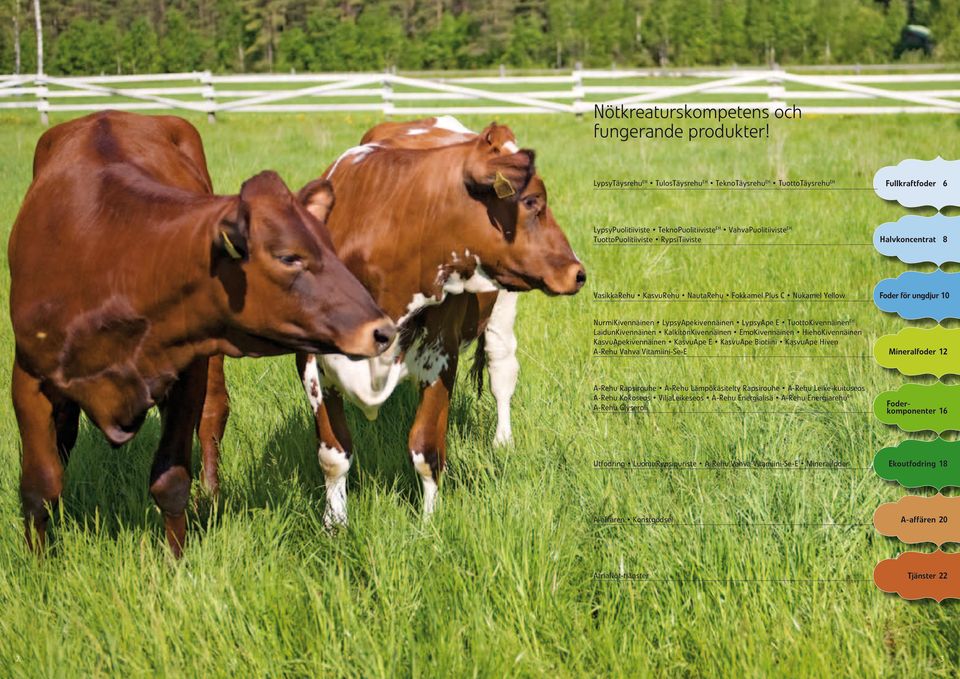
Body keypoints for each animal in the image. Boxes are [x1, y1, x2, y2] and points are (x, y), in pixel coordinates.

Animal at [10, 111, 394, 556]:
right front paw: (40, 562)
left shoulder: (186, 370)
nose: (382, 330)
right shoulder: (28, 376)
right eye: (288, 257)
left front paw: (175, 563)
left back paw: (210, 496)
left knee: (213, 413)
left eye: (331, 246)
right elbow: (40, 485)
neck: (113, 258)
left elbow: (171, 480)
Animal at [201, 115, 584, 524]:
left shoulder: (441, 356)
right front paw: (335, 524)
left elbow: (427, 450)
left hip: (503, 309)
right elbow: (333, 455)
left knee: (502, 371)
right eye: (531, 200)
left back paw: (503, 440)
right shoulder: (311, 363)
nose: (578, 271)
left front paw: (430, 525)